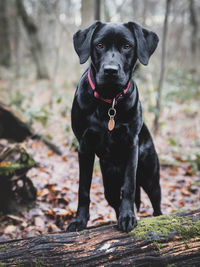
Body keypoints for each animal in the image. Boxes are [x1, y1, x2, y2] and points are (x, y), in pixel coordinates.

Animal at [66, 22, 162, 233]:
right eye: (99, 45)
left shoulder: (131, 145)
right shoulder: (84, 147)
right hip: (109, 179)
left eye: (127, 46)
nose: (110, 71)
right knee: (113, 197)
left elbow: (129, 186)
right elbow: (83, 189)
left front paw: (128, 217)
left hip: (151, 177)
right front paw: (80, 220)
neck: (109, 101)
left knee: (155, 202)